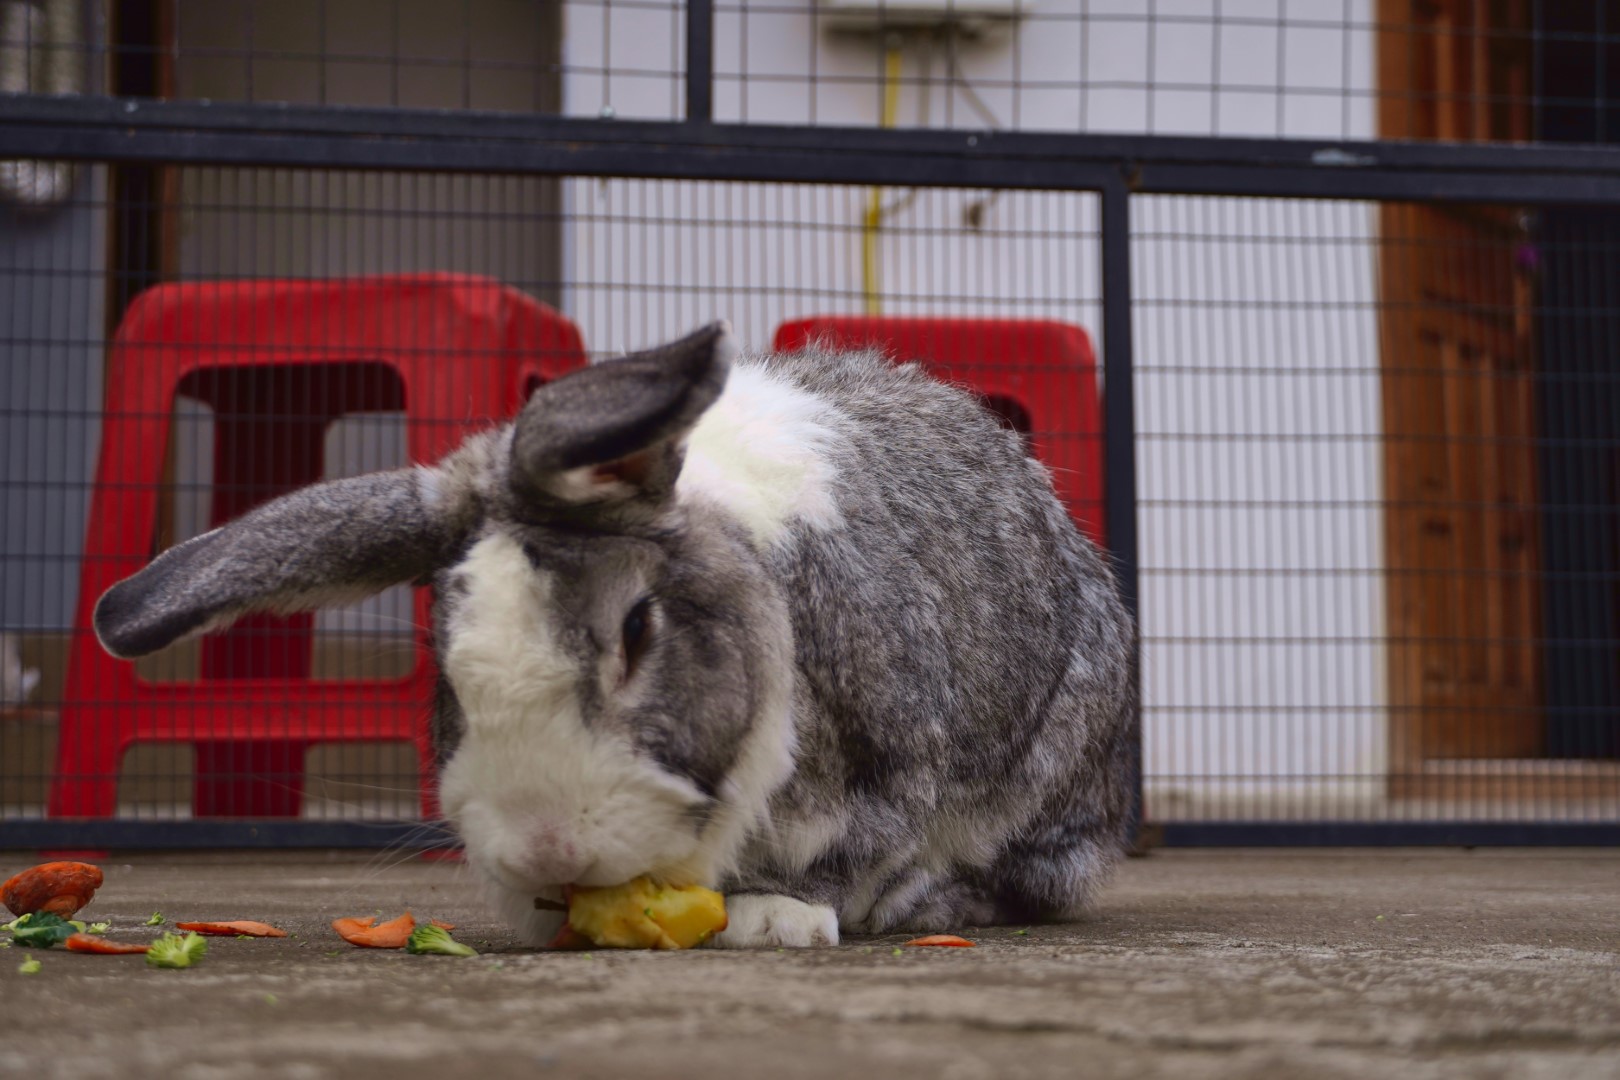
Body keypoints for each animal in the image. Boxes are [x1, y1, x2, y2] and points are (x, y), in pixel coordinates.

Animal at [92, 322, 1138, 948]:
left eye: (639, 628)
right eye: (446, 664)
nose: (548, 849)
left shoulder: (892, 769)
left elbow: (848, 859)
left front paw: (776, 919)